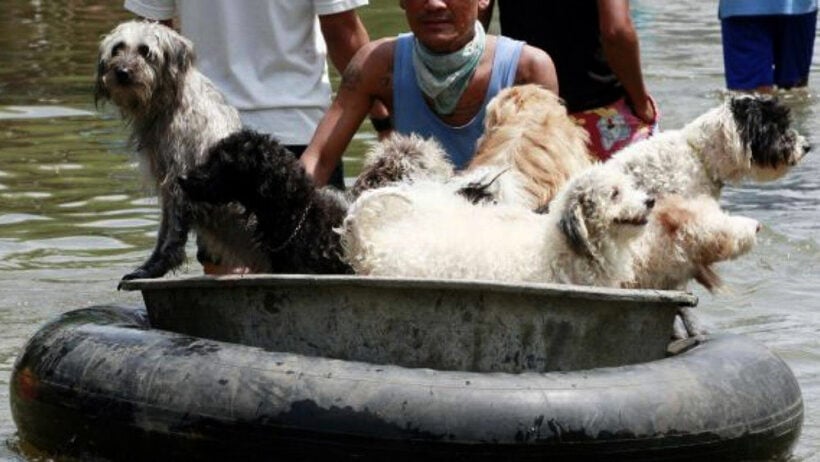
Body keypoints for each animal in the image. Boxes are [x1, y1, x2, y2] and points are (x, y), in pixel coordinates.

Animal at [97, 20, 266, 282]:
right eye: (117, 49)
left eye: (145, 51)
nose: (122, 72)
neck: (172, 104)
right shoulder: (167, 185)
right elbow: (163, 230)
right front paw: (150, 265)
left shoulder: (180, 183)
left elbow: (174, 233)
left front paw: (159, 266)